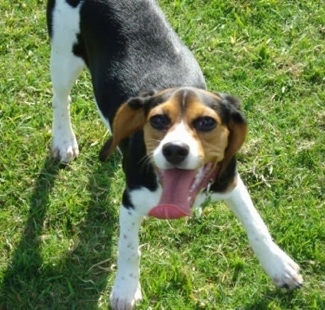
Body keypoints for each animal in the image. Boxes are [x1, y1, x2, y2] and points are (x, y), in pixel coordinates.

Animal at [46, 0, 302, 310]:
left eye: (207, 123)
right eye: (157, 120)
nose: (174, 150)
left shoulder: (230, 181)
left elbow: (256, 225)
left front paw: (280, 267)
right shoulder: (131, 200)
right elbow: (129, 248)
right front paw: (125, 289)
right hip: (63, 55)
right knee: (61, 98)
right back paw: (63, 140)